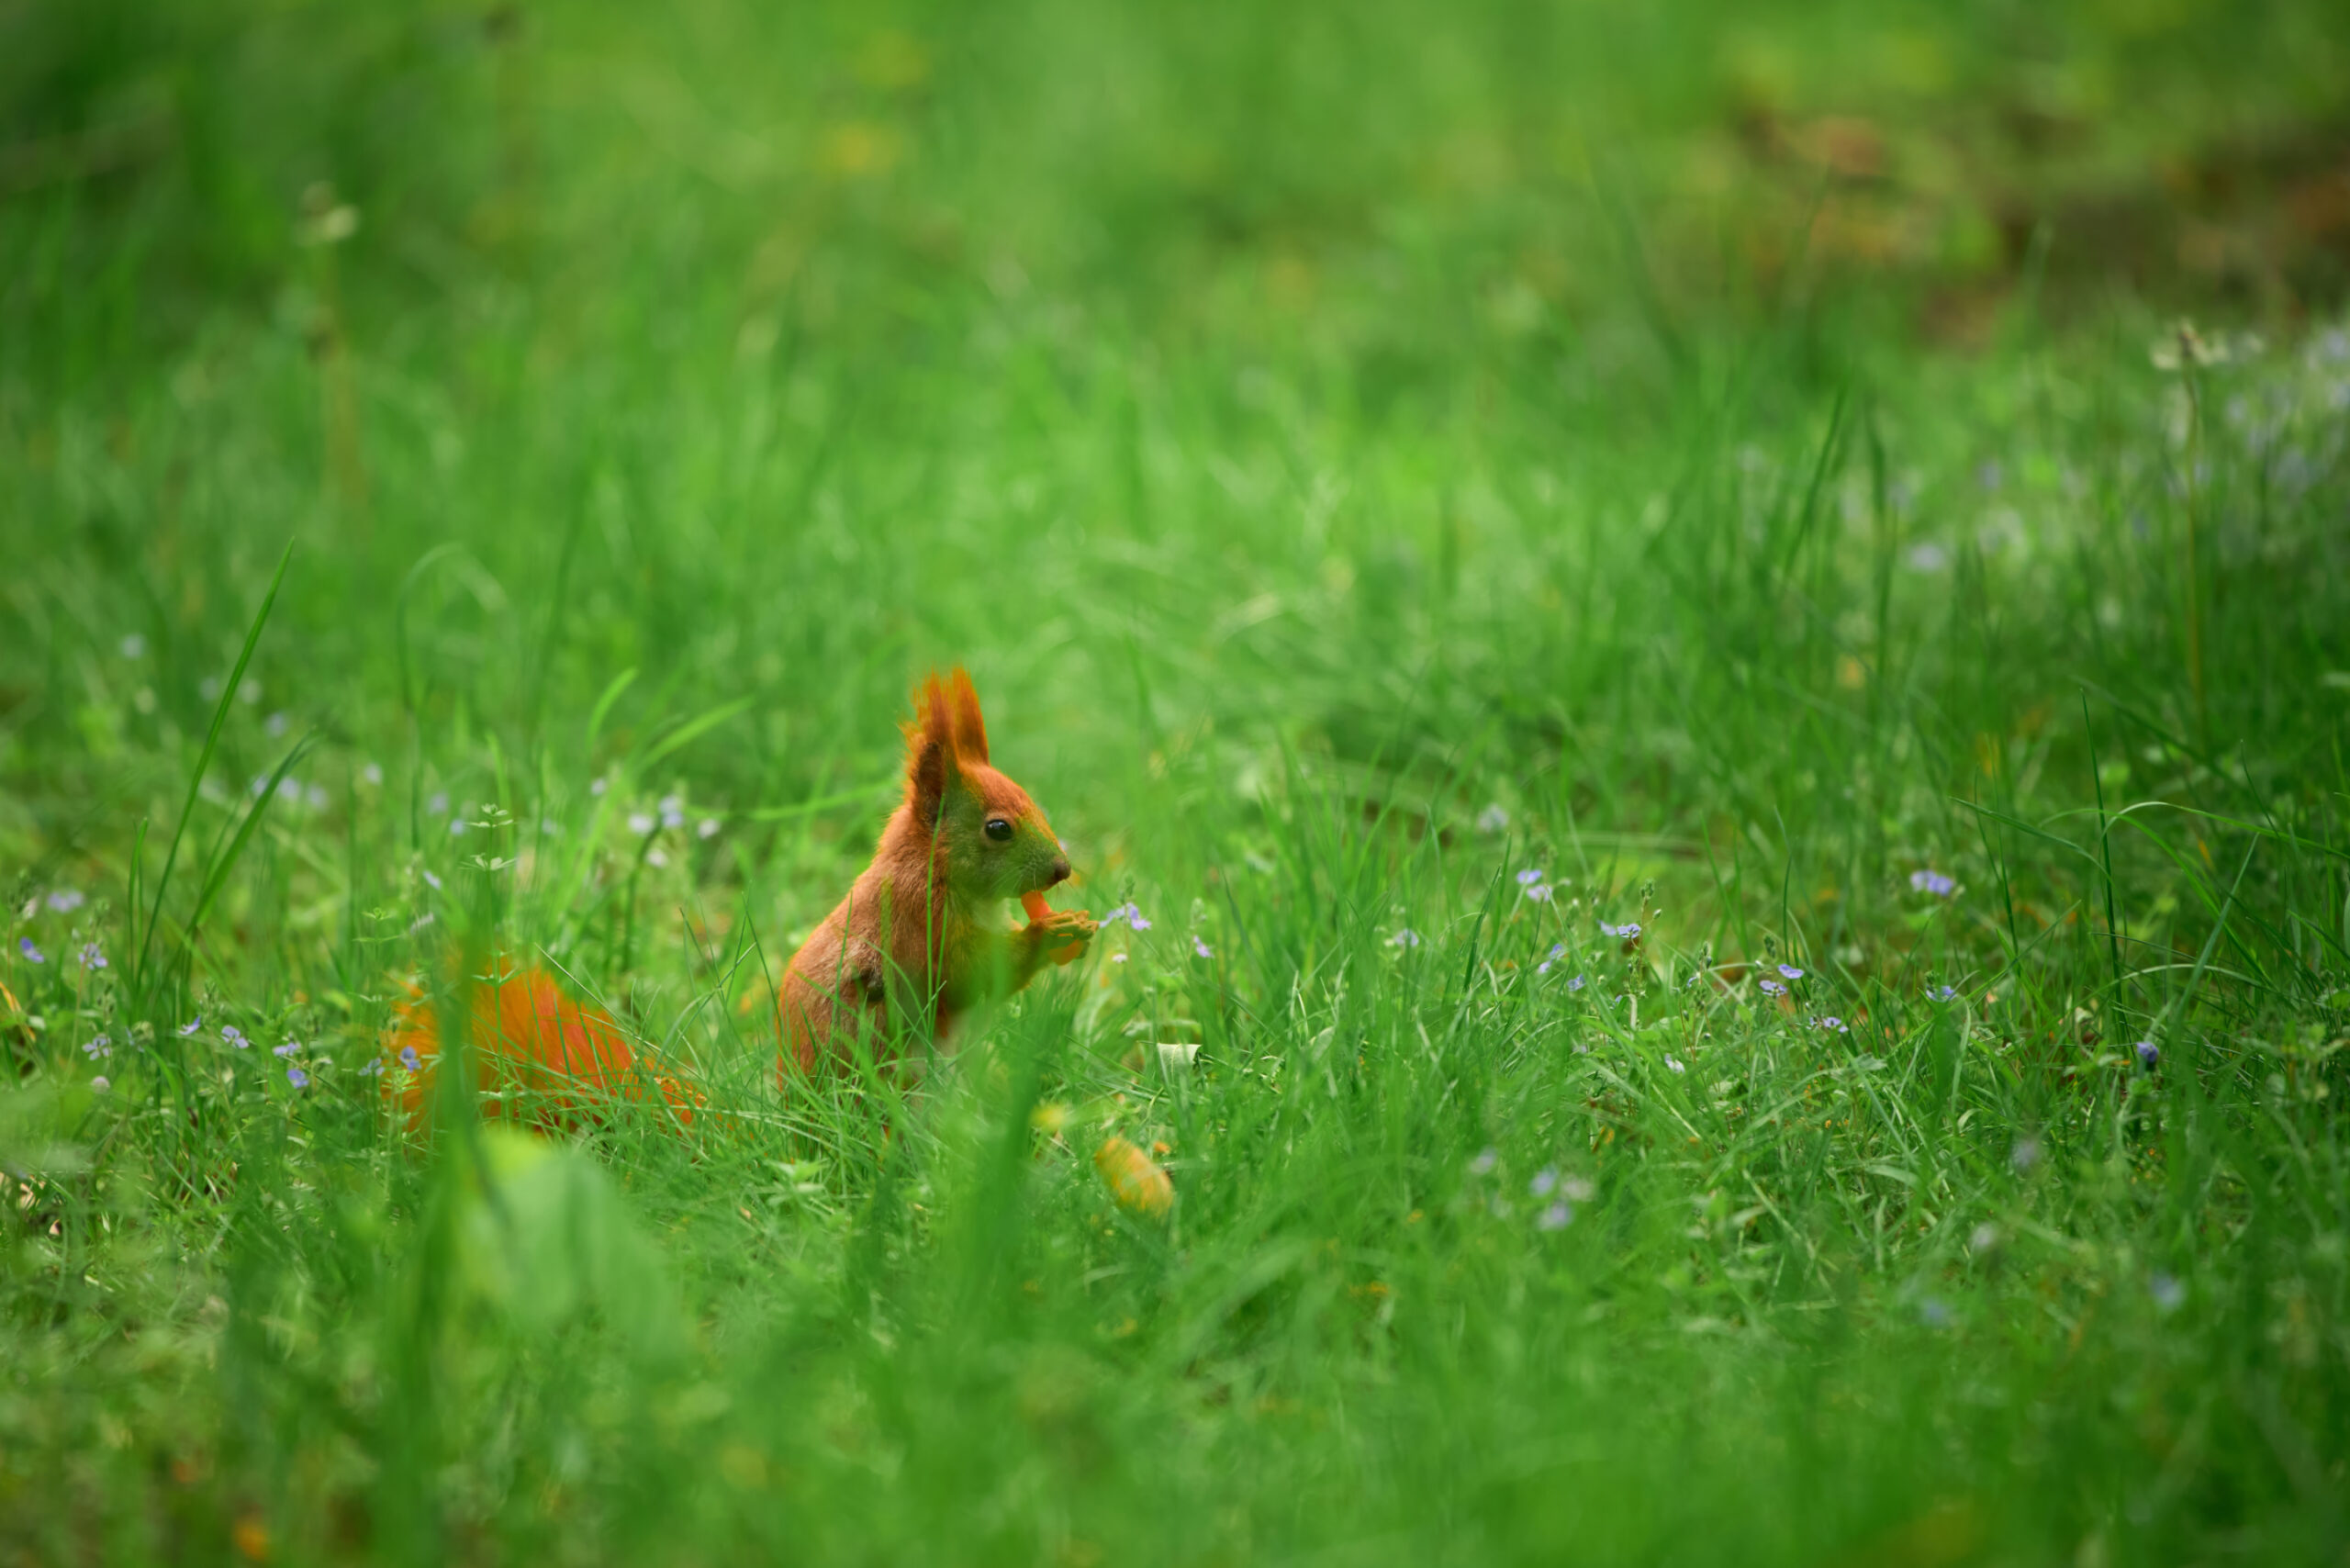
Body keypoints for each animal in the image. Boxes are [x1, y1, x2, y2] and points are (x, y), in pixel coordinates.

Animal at [382, 668, 1094, 1117]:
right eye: (997, 828)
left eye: (1028, 798)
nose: (1061, 871)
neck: (935, 871)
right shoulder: (919, 925)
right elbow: (972, 974)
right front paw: (1051, 935)